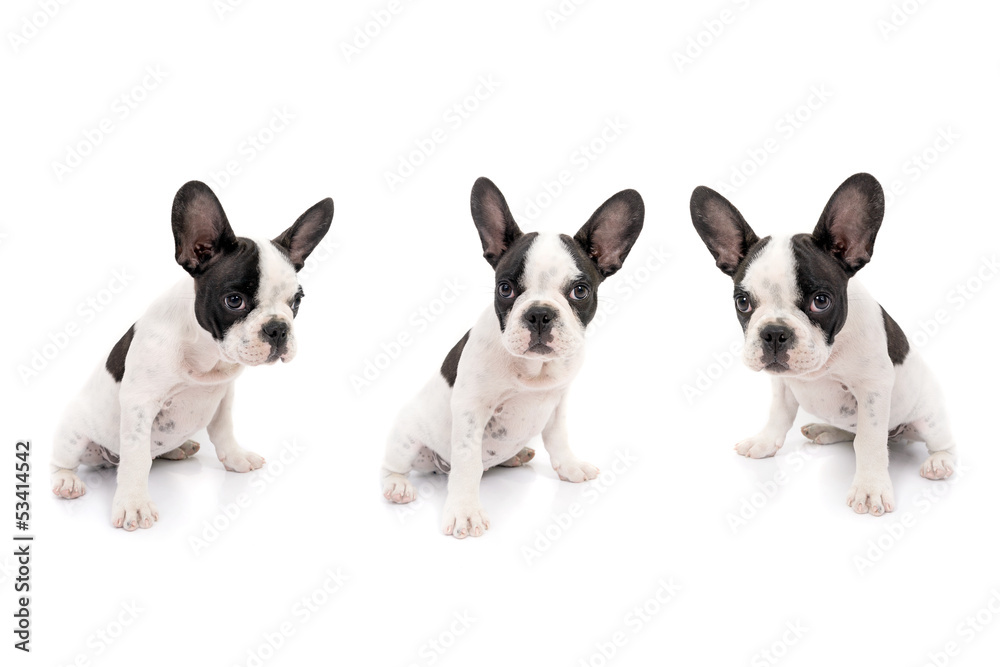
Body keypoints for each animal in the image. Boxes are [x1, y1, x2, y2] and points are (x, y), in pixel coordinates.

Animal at [50, 183, 334, 532]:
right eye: (234, 301)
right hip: (73, 434)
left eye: (296, 301)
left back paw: (178, 448)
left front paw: (235, 457)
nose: (278, 329)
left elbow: (223, 430)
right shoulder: (140, 404)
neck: (206, 353)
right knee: (63, 461)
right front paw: (133, 504)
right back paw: (67, 481)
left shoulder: (224, 394)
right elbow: (136, 458)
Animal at [378, 176, 644, 536]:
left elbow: (558, 438)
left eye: (580, 291)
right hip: (406, 439)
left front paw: (569, 466)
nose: (540, 314)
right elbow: (467, 463)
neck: (534, 369)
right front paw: (465, 511)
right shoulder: (471, 410)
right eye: (505, 288)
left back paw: (514, 456)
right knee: (393, 466)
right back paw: (398, 485)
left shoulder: (558, 402)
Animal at [692, 174, 956, 516]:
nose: (774, 332)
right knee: (852, 431)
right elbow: (778, 415)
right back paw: (827, 430)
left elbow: (869, 442)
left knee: (940, 443)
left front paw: (870, 487)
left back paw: (939, 462)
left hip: (929, 418)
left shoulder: (872, 389)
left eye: (821, 301)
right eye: (743, 302)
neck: (827, 360)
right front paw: (764, 442)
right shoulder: (783, 384)